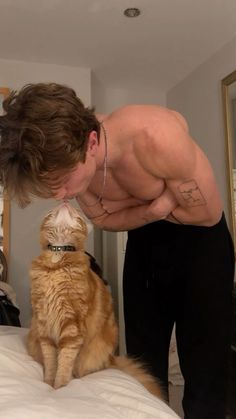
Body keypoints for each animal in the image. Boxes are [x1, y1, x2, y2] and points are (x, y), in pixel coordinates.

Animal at [26, 203, 163, 400]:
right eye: (52, 211)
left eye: (76, 213)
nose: (65, 202)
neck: (56, 263)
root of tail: (112, 359)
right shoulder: (44, 327)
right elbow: (51, 362)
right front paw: (47, 384)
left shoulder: (71, 326)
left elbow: (64, 363)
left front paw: (59, 388)